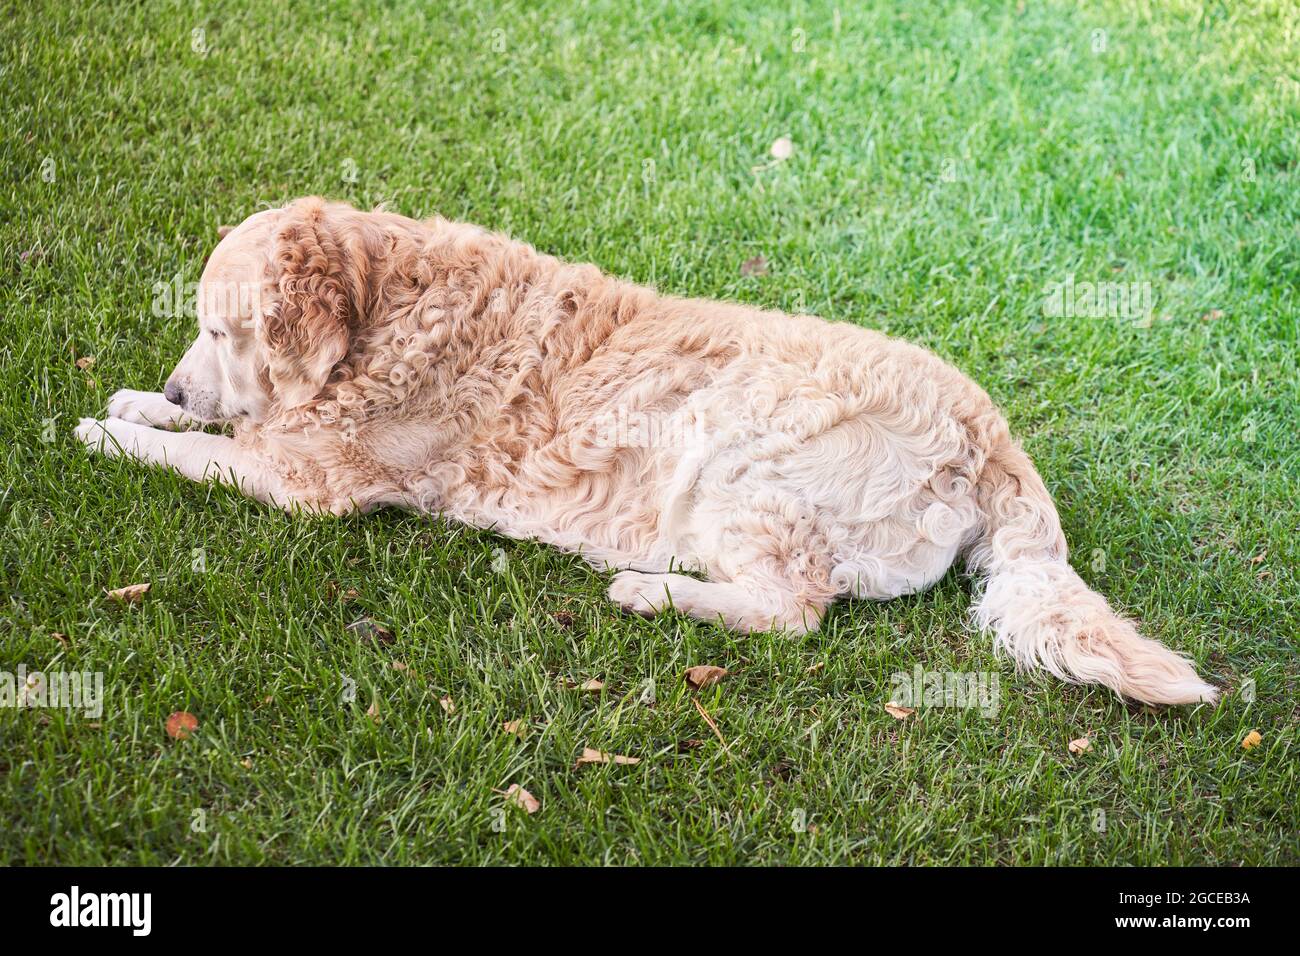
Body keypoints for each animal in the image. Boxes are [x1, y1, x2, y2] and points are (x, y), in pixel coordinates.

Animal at [78, 197, 1216, 707]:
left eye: (220, 330)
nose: (177, 383)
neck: (383, 303)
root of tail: (994, 437)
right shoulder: (296, 432)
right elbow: (227, 426)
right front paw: (141, 400)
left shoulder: (313, 479)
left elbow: (210, 453)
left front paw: (116, 428)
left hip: (738, 446)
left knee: (794, 610)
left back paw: (648, 589)